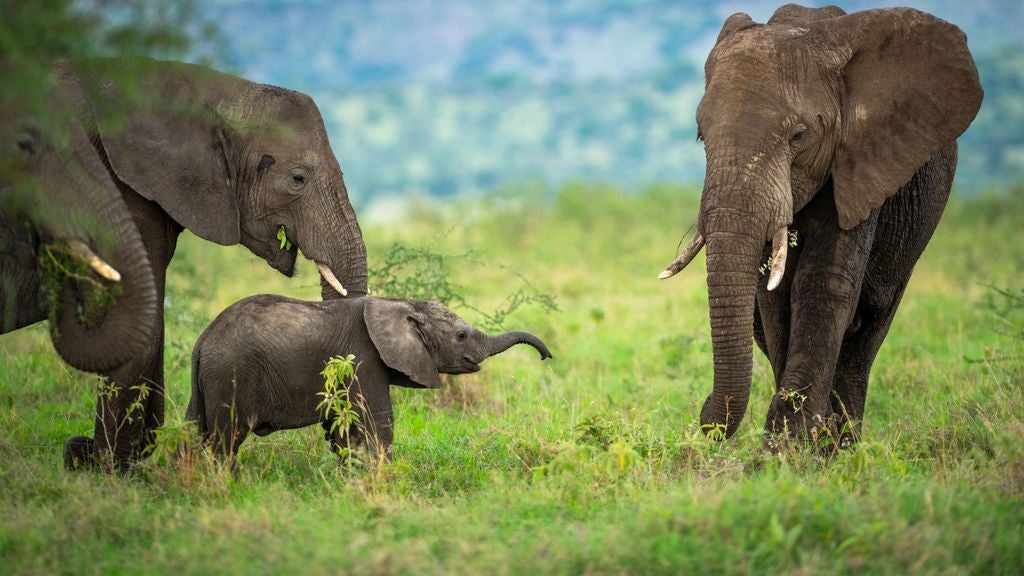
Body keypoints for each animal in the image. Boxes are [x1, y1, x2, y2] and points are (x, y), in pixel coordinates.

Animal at [184, 293, 552, 459]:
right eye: (461, 335)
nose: (546, 357)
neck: (399, 304)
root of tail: (202, 342)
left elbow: (342, 429)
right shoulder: (363, 360)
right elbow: (377, 421)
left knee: (194, 432)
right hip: (231, 375)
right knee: (225, 438)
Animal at [659, 4, 987, 440]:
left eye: (799, 136)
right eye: (700, 135)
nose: (702, 413)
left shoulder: (861, 160)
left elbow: (822, 284)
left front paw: (791, 445)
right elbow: (775, 296)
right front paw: (796, 440)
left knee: (870, 328)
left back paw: (844, 441)